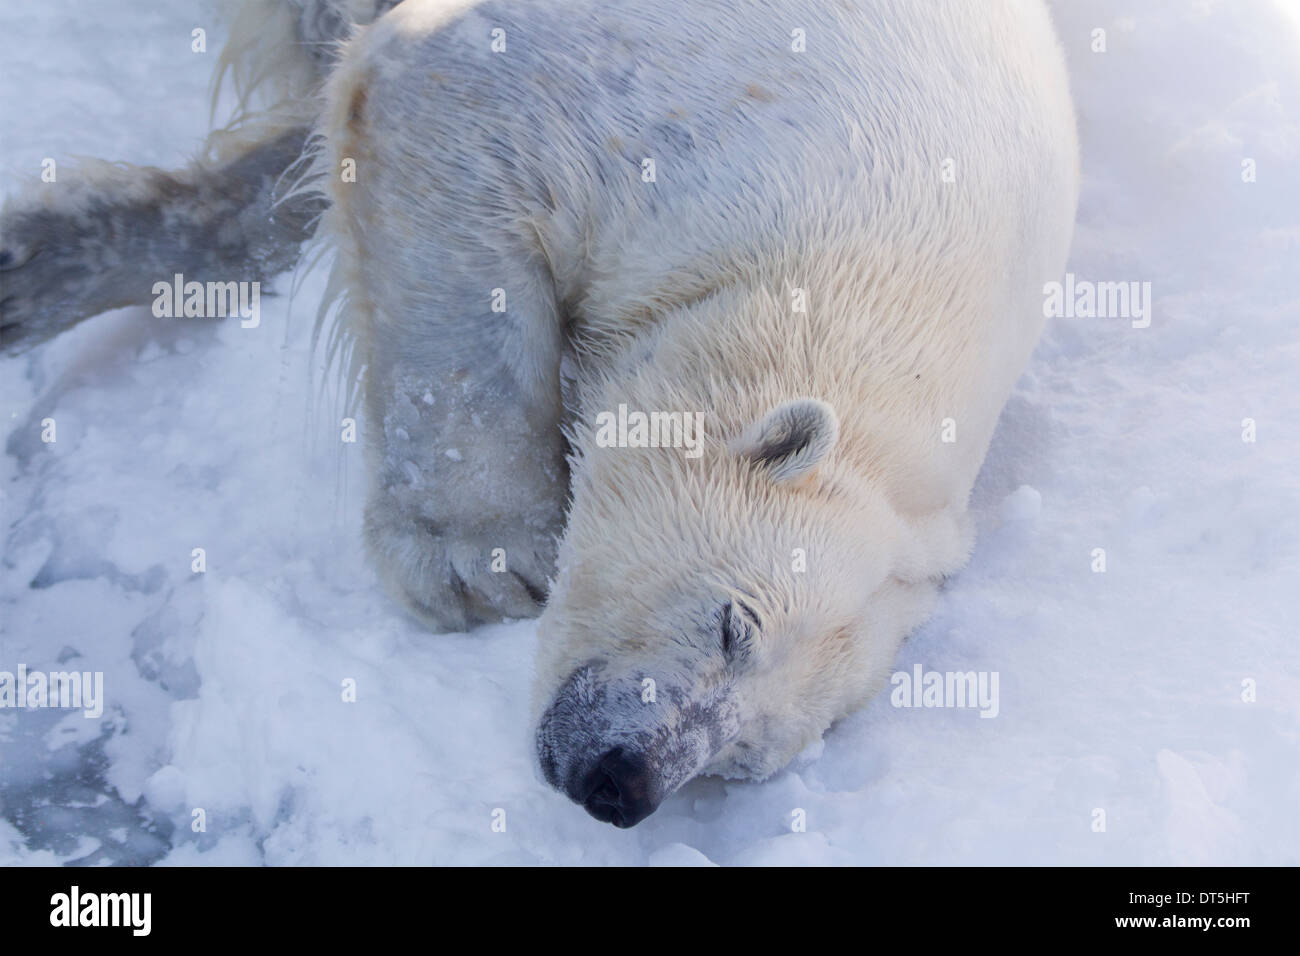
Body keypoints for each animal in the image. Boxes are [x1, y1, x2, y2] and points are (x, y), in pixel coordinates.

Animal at [0, 0, 1076, 832]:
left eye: (752, 757)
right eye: (735, 622)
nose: (625, 783)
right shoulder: (695, 110)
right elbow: (443, 121)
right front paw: (480, 559)